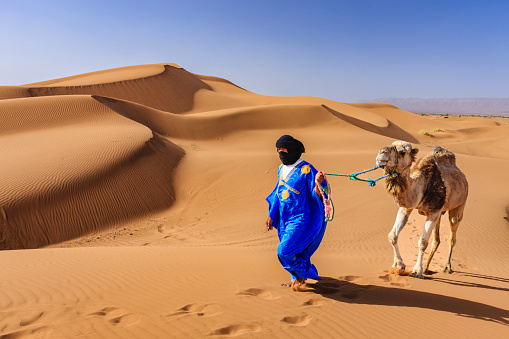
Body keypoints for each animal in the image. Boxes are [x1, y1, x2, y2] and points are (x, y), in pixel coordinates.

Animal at [374, 141, 468, 278]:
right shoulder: (407, 207)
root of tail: (463, 177)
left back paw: (446, 267)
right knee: (437, 240)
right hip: (439, 213)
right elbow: (392, 235)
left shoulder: (434, 211)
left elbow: (423, 242)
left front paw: (417, 270)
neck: (422, 185)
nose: (382, 153)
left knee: (452, 236)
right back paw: (427, 268)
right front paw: (398, 265)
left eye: (402, 152)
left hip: (459, 205)